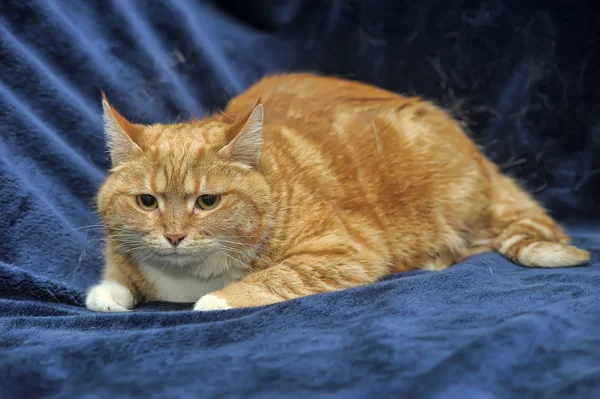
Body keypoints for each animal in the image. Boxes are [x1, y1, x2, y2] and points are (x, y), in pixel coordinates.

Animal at [84, 73, 592, 314]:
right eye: (147, 201)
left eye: (208, 201)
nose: (173, 237)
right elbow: (116, 273)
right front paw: (109, 291)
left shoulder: (343, 252)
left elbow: (272, 278)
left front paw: (218, 298)